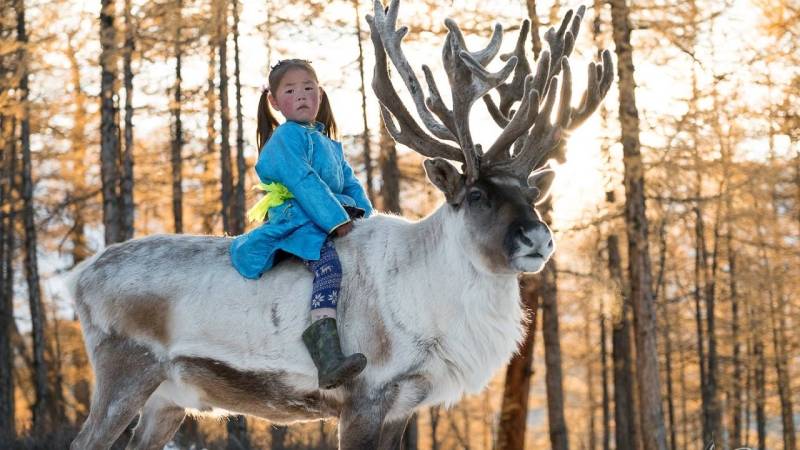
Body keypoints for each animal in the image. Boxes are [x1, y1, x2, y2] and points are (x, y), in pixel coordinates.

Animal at [67, 1, 612, 448]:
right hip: (125, 372)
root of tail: (78, 277)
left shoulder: (404, 406)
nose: (538, 239)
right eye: (477, 195)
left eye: (532, 195)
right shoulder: (365, 398)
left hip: (168, 400)